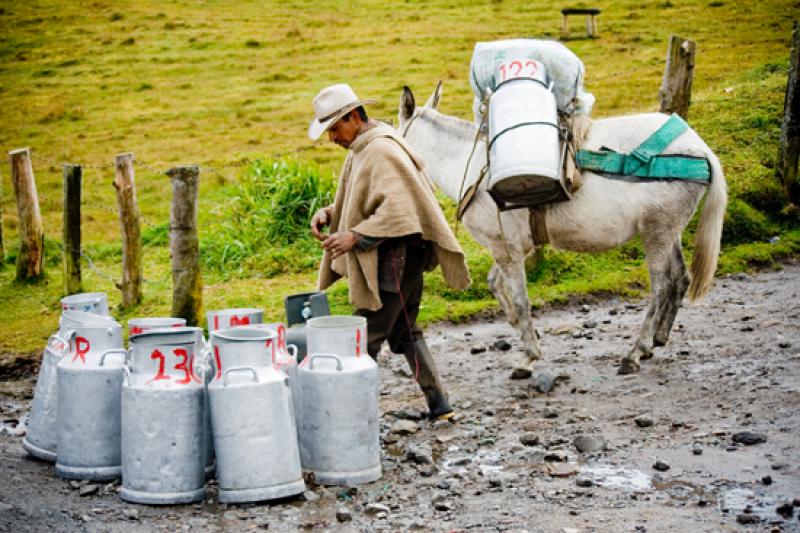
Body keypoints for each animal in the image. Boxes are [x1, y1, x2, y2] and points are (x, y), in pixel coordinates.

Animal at [396, 84, 728, 374]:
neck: (476, 168)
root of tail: (700, 149)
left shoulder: (506, 248)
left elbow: (519, 297)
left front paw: (528, 356)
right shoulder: (509, 247)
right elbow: (495, 284)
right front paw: (521, 329)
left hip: (657, 232)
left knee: (661, 286)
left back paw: (635, 352)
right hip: (666, 231)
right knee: (680, 278)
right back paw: (656, 340)